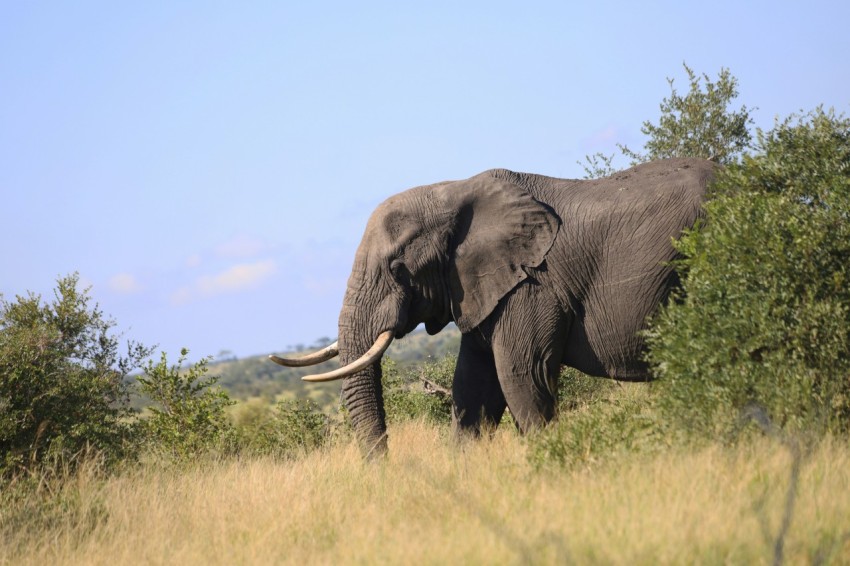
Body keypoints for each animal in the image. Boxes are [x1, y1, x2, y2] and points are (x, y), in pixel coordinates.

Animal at [270, 157, 716, 456]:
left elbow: (521, 374)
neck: (452, 192)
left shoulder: (533, 284)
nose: (384, 473)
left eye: (397, 268)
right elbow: (473, 387)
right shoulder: (485, 288)